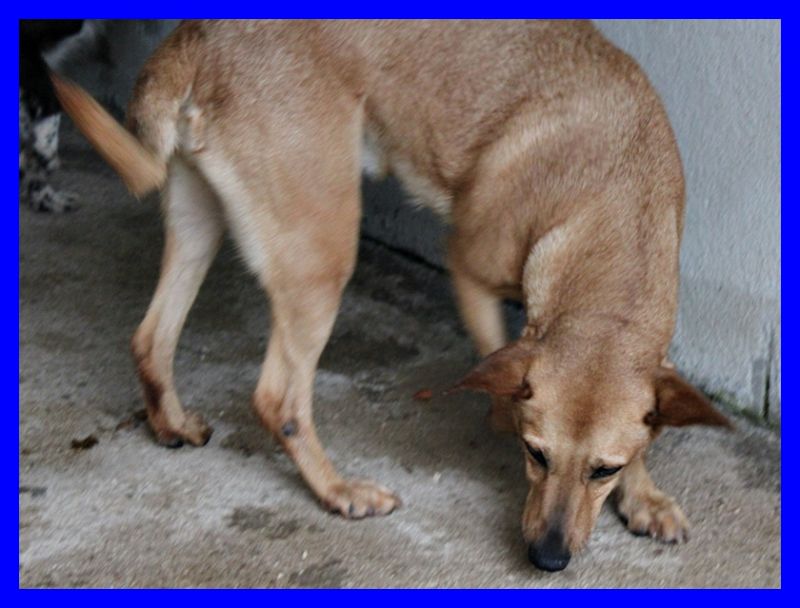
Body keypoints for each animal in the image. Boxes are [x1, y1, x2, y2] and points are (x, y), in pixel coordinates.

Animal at [53, 19, 736, 568]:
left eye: (605, 470)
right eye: (535, 454)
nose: (547, 559)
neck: (609, 205)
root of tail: (199, 36)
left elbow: (645, 419)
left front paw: (643, 496)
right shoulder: (468, 270)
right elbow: (496, 363)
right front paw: (499, 415)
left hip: (200, 222)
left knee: (150, 338)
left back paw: (169, 421)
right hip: (322, 252)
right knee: (280, 399)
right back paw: (338, 492)